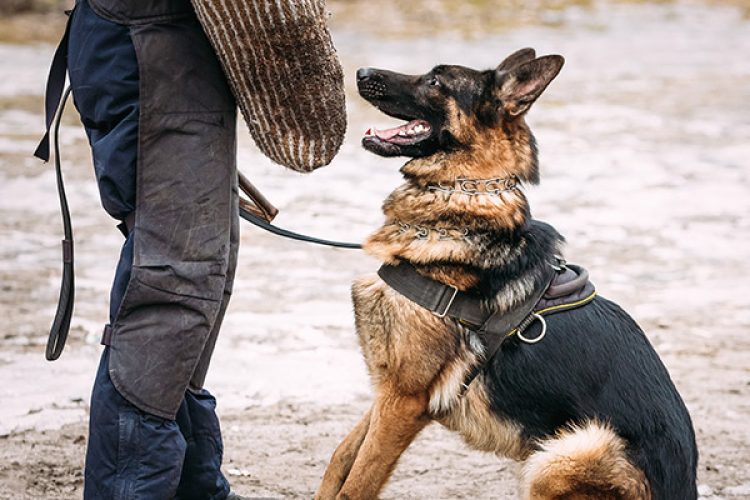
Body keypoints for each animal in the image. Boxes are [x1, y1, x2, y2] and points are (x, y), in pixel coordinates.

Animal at [314, 47, 696, 500]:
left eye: (436, 81)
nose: (360, 71)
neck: (461, 197)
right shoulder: (389, 388)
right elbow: (341, 459)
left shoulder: (404, 400)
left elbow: (357, 483)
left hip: (566, 450)